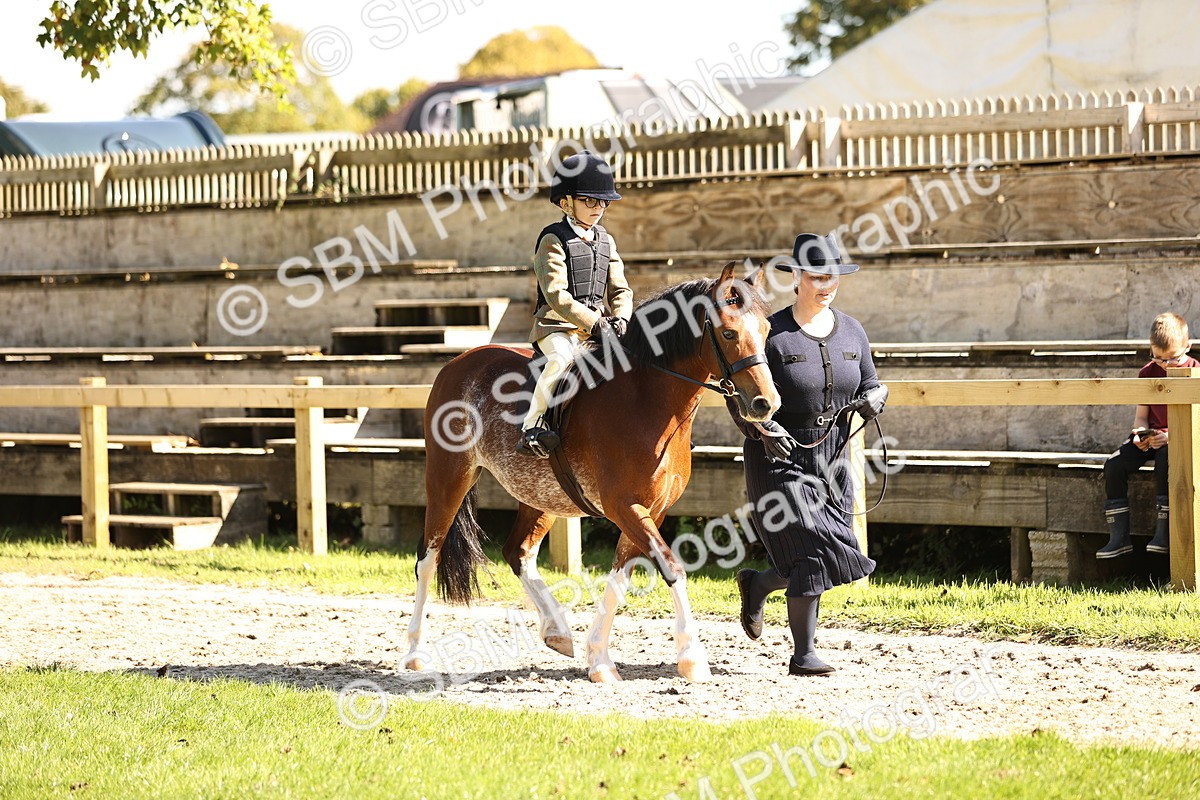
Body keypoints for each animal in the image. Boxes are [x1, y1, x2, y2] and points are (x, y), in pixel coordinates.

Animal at [403, 262, 780, 682]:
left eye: (765, 330)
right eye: (729, 332)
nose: (766, 404)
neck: (646, 398)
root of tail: (459, 362)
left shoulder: (651, 511)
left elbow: (620, 578)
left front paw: (598, 659)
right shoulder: (625, 507)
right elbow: (672, 568)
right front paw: (692, 658)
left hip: (542, 496)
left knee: (518, 552)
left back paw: (557, 631)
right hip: (447, 478)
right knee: (427, 559)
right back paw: (415, 654)